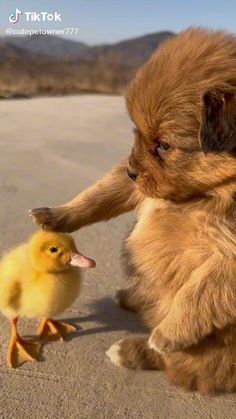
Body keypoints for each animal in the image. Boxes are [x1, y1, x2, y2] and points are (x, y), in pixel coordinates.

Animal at [30, 28, 236, 394]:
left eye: (164, 145)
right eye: (137, 134)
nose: (131, 171)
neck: (204, 193)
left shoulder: (227, 256)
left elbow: (197, 295)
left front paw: (168, 334)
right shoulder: (136, 186)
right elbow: (98, 195)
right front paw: (55, 215)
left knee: (186, 366)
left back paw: (133, 348)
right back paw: (133, 298)